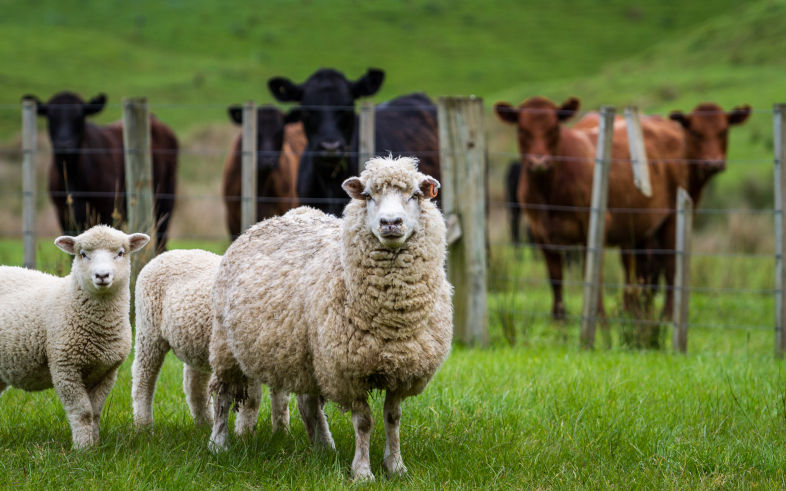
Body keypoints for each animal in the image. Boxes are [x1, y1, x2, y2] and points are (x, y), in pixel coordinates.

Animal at [0, 225, 149, 449]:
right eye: (83, 254)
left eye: (121, 253)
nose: (102, 275)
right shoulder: (65, 367)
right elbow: (82, 412)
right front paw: (83, 449)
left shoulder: (106, 371)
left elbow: (95, 412)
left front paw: (95, 445)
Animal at [23, 91, 178, 252]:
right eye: (51, 116)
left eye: (79, 116)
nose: (64, 144)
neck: (73, 177)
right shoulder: (64, 214)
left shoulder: (109, 209)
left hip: (165, 200)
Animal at [131, 249, 290, 434]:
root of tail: (166, 254)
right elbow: (252, 400)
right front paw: (245, 434)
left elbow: (281, 401)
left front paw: (282, 433)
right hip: (148, 331)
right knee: (143, 377)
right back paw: (143, 425)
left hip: (196, 343)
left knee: (194, 386)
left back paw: (204, 425)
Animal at [209, 156, 453, 481]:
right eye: (368, 196)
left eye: (415, 195)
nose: (390, 223)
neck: (391, 320)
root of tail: (271, 219)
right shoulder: (348, 371)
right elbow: (364, 422)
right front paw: (362, 472)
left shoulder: (402, 370)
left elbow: (393, 418)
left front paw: (396, 467)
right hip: (226, 345)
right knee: (223, 395)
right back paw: (218, 444)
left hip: (307, 353)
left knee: (308, 402)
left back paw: (324, 447)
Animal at [494, 96, 680, 320]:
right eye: (521, 129)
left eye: (554, 128)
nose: (539, 162)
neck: (549, 192)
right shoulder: (540, 233)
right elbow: (555, 278)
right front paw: (559, 320)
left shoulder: (592, 228)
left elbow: (591, 275)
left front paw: (598, 318)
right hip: (638, 227)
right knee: (639, 268)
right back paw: (638, 312)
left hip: (672, 218)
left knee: (669, 266)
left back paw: (666, 315)